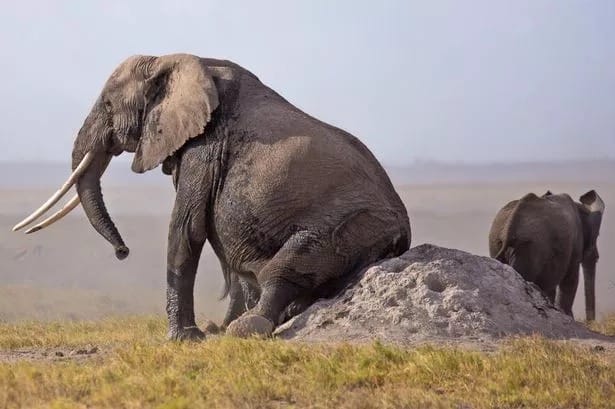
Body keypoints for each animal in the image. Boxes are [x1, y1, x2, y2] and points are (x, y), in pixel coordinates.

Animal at [14, 55, 412, 342]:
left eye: (109, 105)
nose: (122, 252)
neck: (176, 61)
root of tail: (405, 234)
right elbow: (221, 245)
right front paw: (210, 332)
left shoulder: (204, 148)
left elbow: (186, 230)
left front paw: (183, 339)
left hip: (356, 224)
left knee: (289, 264)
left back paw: (248, 327)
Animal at [490, 190, 608, 320]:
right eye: (597, 235)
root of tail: (508, 231)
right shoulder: (575, 244)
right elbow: (570, 280)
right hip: (529, 250)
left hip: (498, 243)